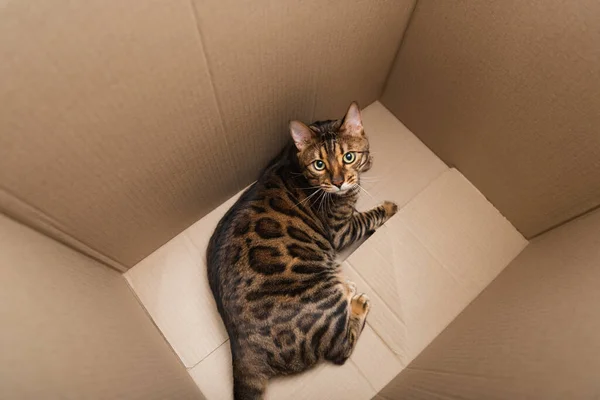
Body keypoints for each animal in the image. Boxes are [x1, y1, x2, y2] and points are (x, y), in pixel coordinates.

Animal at [206, 101, 398, 398]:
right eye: (319, 164)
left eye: (348, 157)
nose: (339, 181)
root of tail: (242, 349)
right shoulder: (343, 230)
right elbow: (369, 216)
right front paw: (389, 207)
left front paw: (367, 161)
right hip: (322, 296)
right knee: (340, 349)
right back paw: (356, 302)